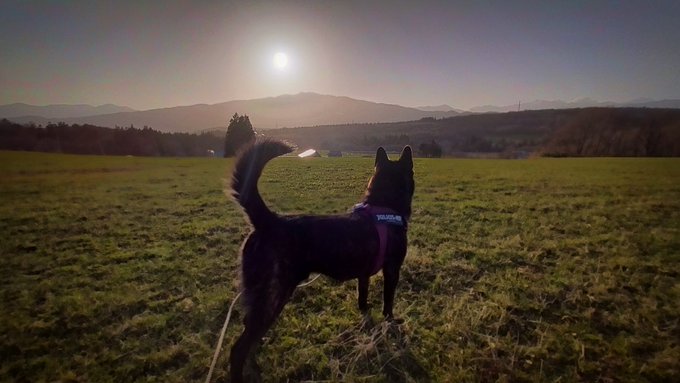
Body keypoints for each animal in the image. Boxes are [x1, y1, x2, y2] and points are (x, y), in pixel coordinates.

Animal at [228, 140, 414, 380]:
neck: (383, 204)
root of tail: (270, 221)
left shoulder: (364, 274)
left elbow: (362, 299)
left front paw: (366, 317)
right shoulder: (392, 270)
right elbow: (388, 303)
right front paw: (390, 323)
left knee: (250, 336)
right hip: (273, 296)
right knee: (239, 348)